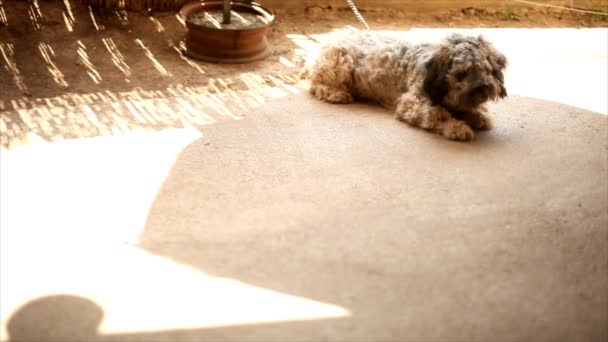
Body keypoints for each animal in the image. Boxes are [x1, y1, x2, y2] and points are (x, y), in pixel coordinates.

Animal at [308, 27, 508, 140]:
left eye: (486, 69)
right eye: (461, 74)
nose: (483, 88)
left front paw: (477, 115)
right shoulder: (412, 103)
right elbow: (437, 114)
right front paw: (456, 127)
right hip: (340, 62)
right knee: (315, 85)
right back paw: (336, 93)